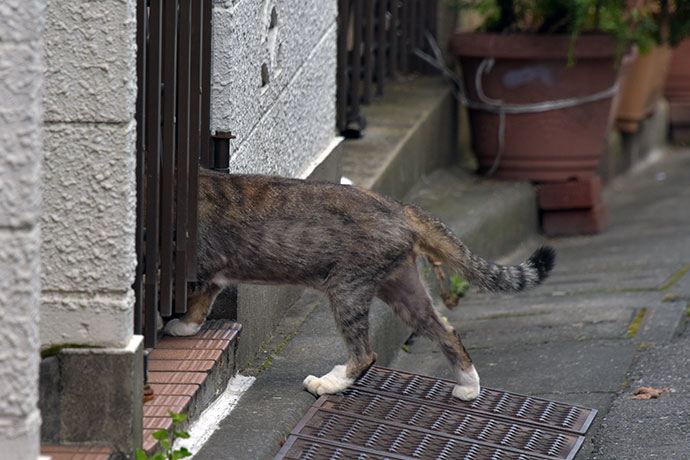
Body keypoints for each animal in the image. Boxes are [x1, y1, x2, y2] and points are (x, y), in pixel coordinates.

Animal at [165, 169, 552, 398]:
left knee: (366, 353)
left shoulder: (196, 263)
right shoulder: (208, 272)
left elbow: (191, 293)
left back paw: (330, 382)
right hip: (401, 286)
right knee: (445, 329)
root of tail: (402, 207)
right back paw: (469, 385)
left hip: (347, 285)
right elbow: (202, 300)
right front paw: (187, 327)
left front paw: (177, 326)